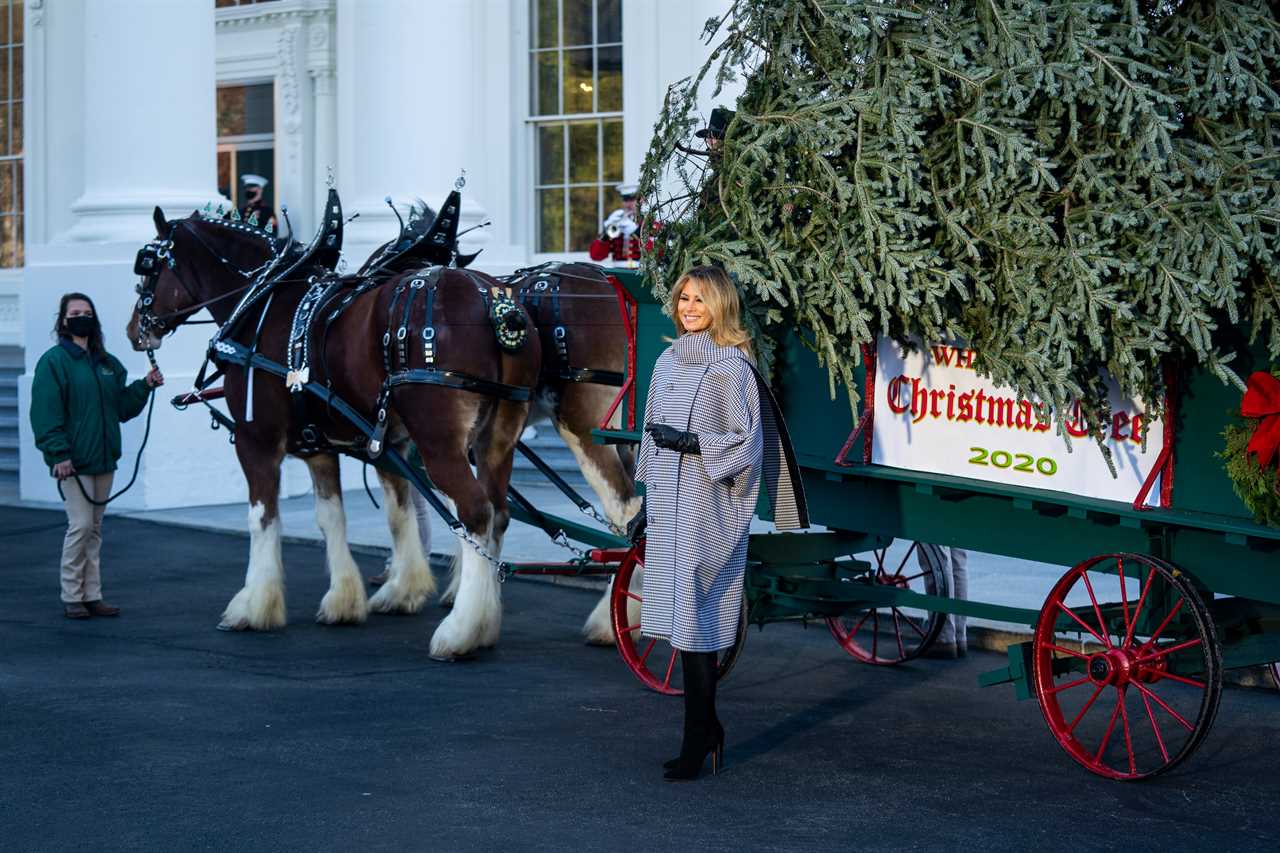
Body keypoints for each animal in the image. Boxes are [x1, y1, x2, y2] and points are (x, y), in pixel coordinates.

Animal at [124, 206, 535, 655]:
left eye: (147, 265)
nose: (134, 330)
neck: (262, 301)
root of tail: (493, 302)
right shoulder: (329, 446)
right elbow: (347, 516)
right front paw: (357, 598)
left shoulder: (257, 439)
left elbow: (262, 517)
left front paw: (253, 604)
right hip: (496, 438)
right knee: (497, 513)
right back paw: (485, 623)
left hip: (439, 443)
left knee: (474, 513)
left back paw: (460, 630)